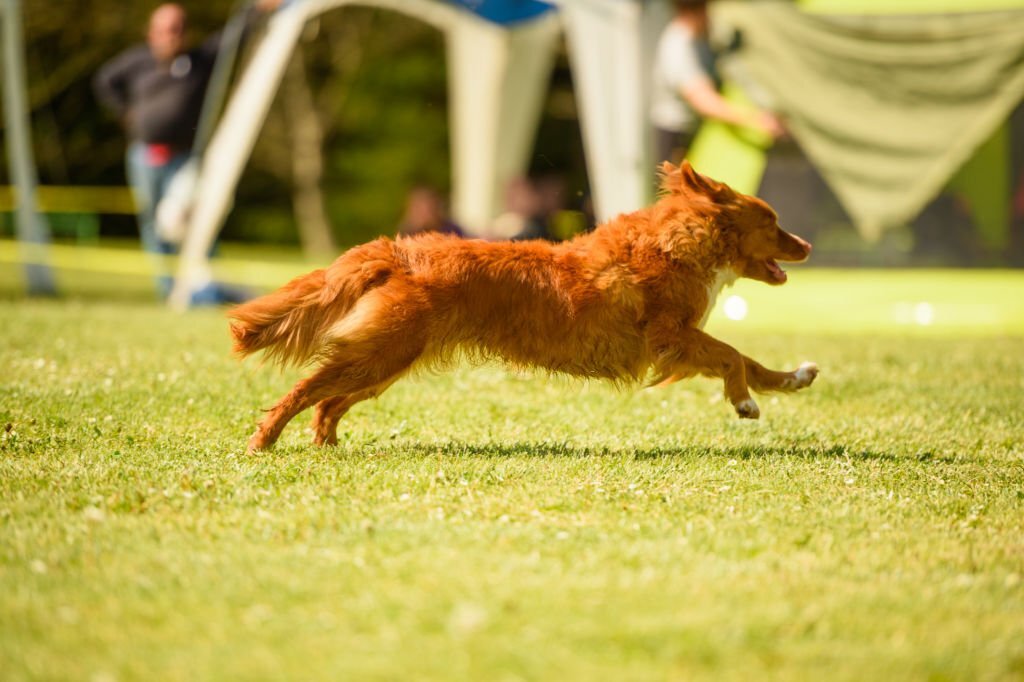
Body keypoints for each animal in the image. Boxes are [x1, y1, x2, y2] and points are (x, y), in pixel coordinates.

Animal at [230, 162, 815, 450]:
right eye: (772, 222)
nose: (808, 245)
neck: (676, 243)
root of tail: (398, 252)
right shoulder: (672, 338)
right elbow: (733, 356)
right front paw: (744, 402)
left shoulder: (681, 342)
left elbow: (751, 360)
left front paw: (790, 379)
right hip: (380, 354)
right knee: (306, 390)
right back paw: (264, 440)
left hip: (384, 361)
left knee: (328, 402)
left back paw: (326, 445)